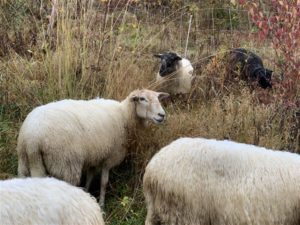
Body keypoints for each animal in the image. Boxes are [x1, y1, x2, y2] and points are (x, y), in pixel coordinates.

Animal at [17, 89, 169, 207]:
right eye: (142, 99)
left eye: (158, 98)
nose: (162, 115)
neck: (124, 115)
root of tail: (33, 139)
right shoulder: (109, 157)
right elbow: (103, 182)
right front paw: (101, 204)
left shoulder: (95, 156)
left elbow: (90, 177)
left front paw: (87, 191)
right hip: (65, 164)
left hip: (26, 162)